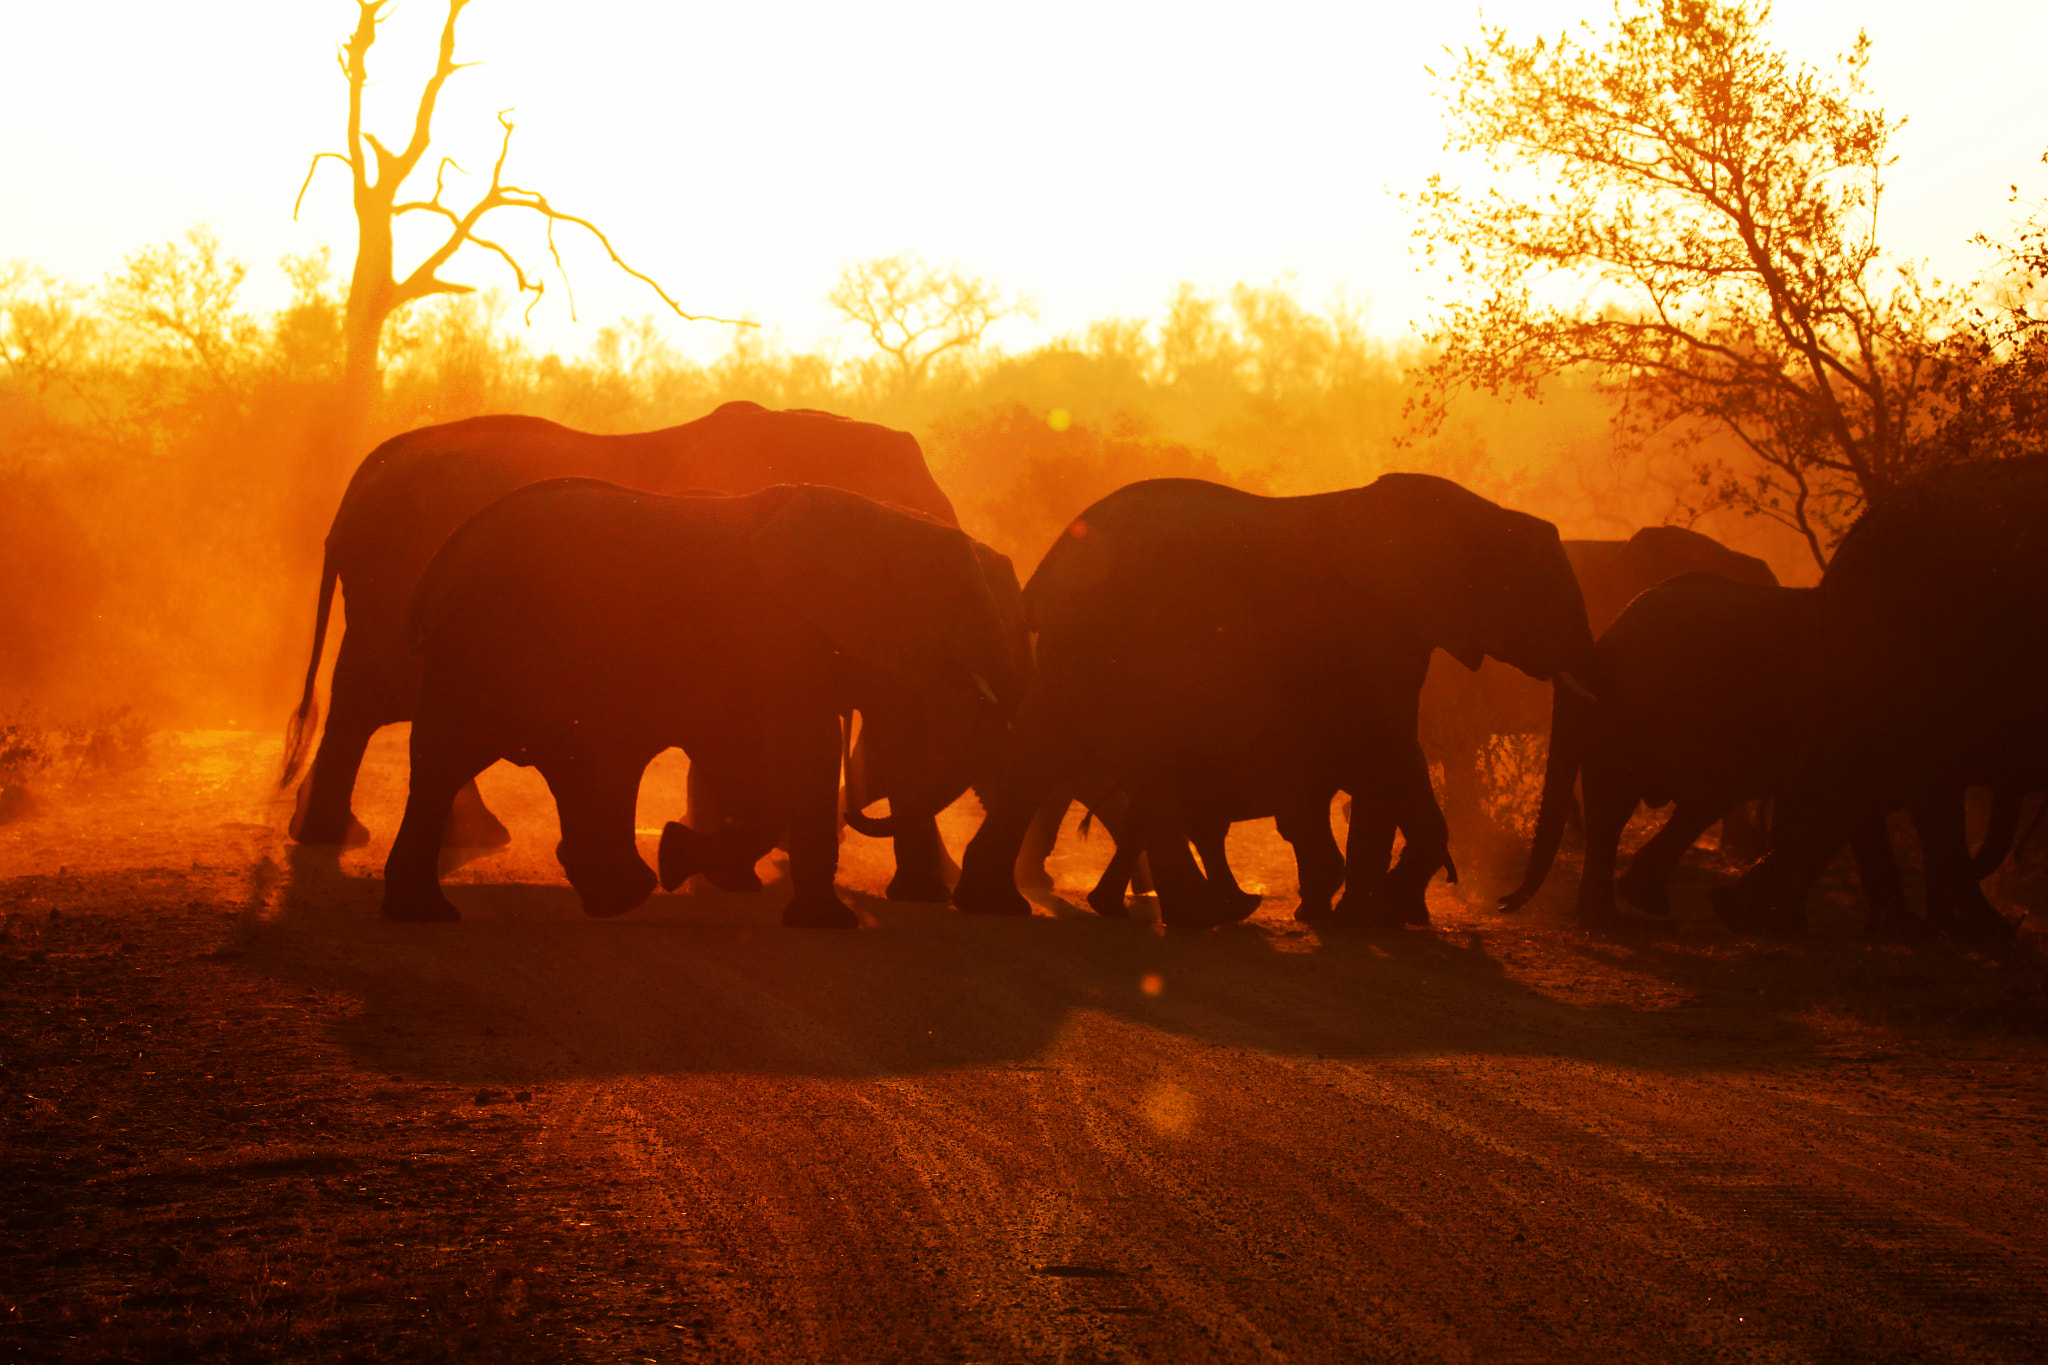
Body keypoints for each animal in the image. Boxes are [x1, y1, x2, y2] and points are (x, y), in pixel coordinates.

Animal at [382, 480, 1021, 926]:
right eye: (962, 609)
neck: (879, 514)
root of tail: (443, 559)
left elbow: (752, 766)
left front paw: (678, 854)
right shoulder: (775, 638)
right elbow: (803, 753)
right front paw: (827, 925)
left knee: (552, 764)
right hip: (482, 648)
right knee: (454, 761)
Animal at [951, 475, 1597, 929]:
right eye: (1543, 594)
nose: (1505, 904)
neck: (1477, 512)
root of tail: (1051, 565)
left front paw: (1368, 913)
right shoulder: (1380, 630)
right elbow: (1391, 743)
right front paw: (1375, 911)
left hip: (1084, 650)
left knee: (1045, 747)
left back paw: (998, 904)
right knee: (1132, 758)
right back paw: (1206, 915)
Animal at [1498, 573, 1911, 929]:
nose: (1501, 903)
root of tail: (1616, 626)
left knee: (1643, 803)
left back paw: (1621, 909)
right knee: (1636, 800)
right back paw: (1624, 911)